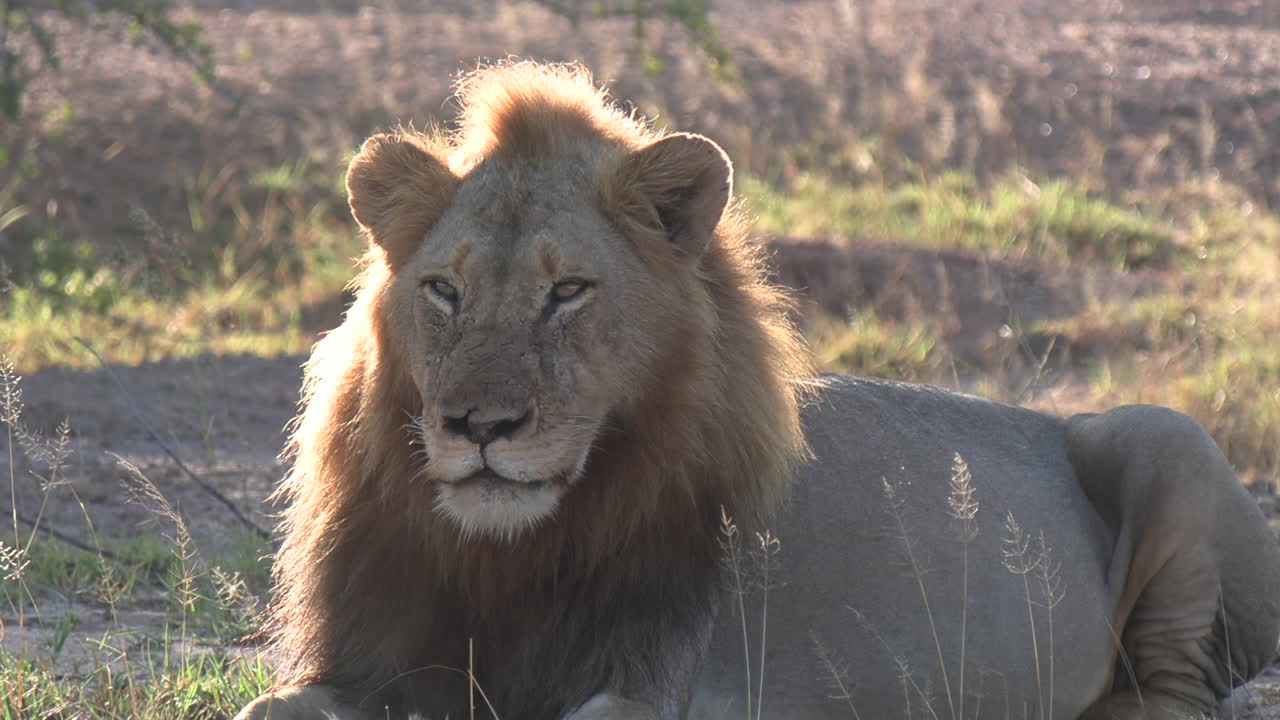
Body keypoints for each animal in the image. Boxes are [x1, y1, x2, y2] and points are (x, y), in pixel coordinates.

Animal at [236, 62, 1280, 720]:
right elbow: (268, 706)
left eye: (567, 291)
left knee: (1181, 693)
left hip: (1165, 436)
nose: (477, 425)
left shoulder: (662, 681)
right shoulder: (372, 655)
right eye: (443, 291)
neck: (512, 558)